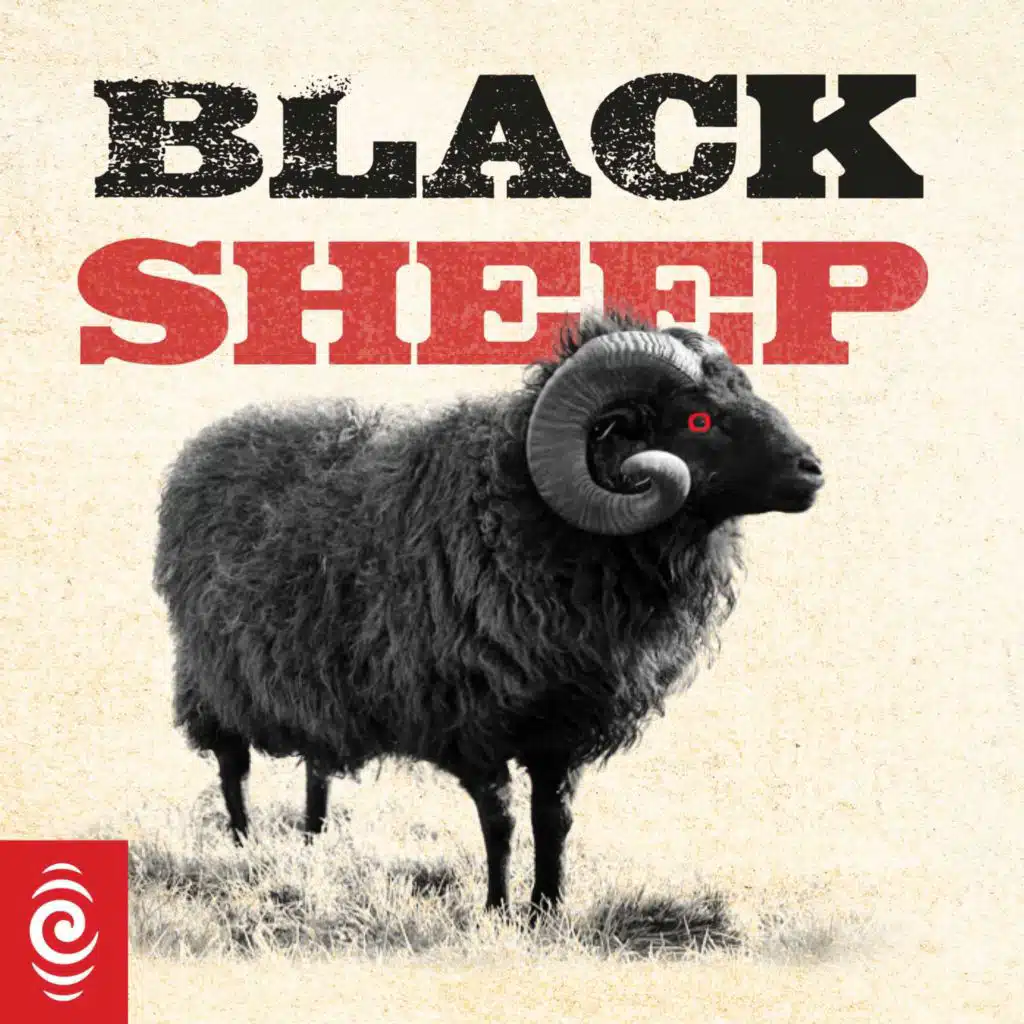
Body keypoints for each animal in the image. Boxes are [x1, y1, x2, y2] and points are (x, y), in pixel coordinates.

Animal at [153, 309, 824, 915]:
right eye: (699, 418)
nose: (813, 469)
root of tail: (209, 443)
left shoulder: (563, 726)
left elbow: (554, 821)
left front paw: (549, 910)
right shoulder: (471, 721)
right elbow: (499, 821)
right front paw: (499, 911)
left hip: (318, 685)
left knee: (317, 765)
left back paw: (313, 843)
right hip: (213, 677)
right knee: (234, 767)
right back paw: (244, 847)